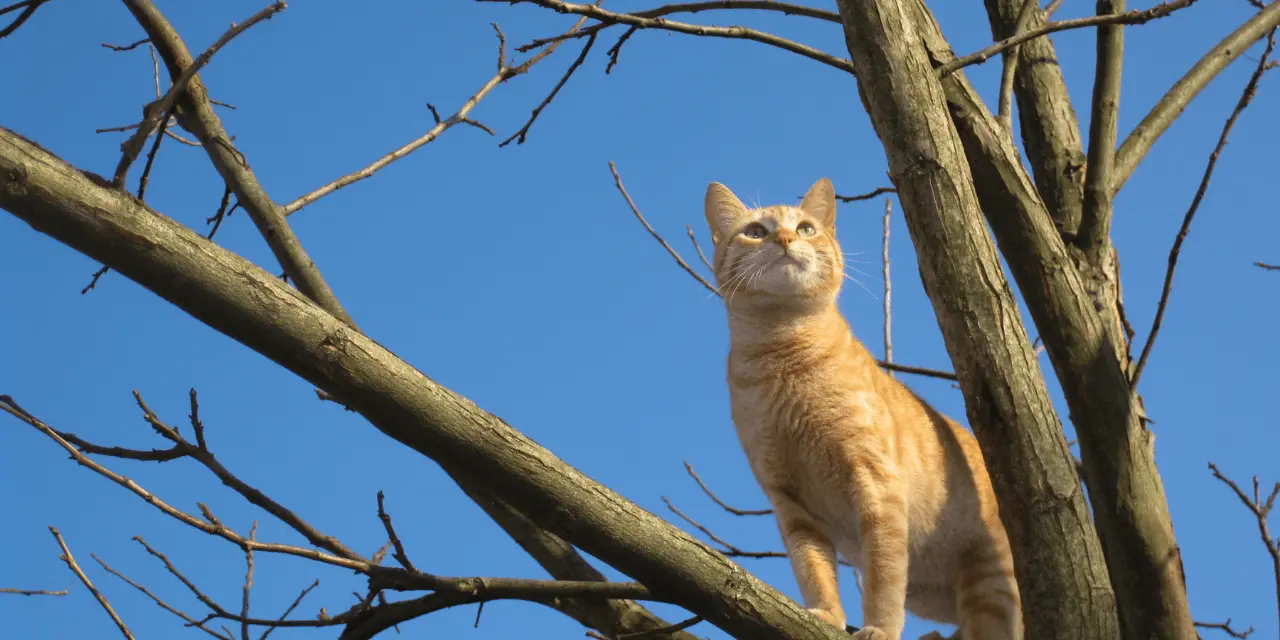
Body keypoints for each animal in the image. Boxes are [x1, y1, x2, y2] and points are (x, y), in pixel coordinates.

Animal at [706, 179, 1024, 640]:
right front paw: (824, 614)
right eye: (755, 232)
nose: (783, 239)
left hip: (989, 585)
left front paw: (880, 629)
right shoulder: (792, 506)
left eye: (805, 229)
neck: (782, 355)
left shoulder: (876, 484)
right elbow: (813, 568)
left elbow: (883, 577)